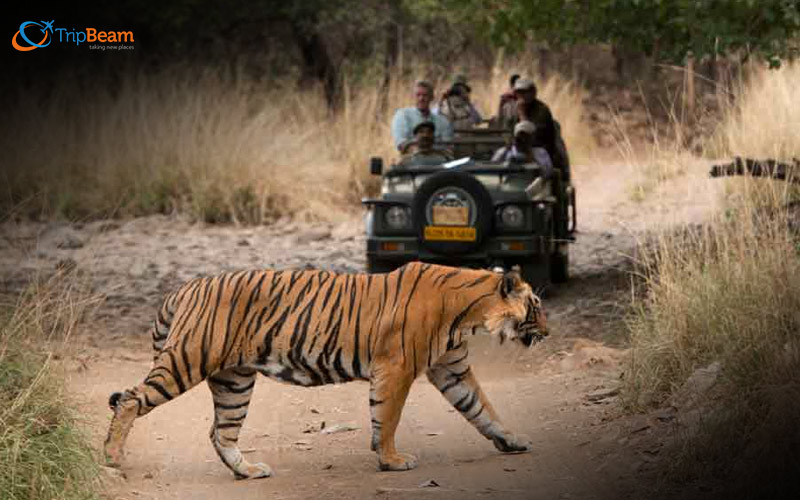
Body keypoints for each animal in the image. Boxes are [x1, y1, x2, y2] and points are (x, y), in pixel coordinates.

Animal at [103, 260, 548, 478]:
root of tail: (183, 287)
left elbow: (483, 408)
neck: (468, 313)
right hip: (187, 359)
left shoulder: (450, 369)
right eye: (536, 306)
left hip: (234, 381)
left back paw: (249, 471)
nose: (548, 331)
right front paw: (391, 460)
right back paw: (111, 458)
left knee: (220, 432)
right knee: (130, 399)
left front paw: (511, 440)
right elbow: (388, 417)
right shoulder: (397, 367)